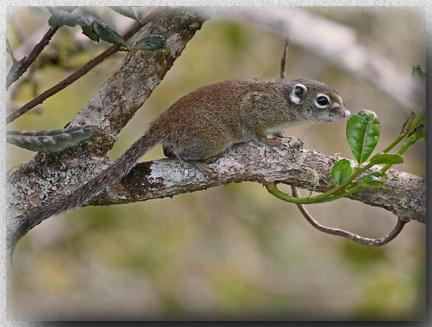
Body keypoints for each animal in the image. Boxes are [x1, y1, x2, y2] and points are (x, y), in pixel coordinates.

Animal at [7, 79, 352, 254]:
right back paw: (199, 162)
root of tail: (163, 123)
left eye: (337, 99)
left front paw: (286, 138)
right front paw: (273, 143)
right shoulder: (256, 111)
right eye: (323, 101)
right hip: (215, 136)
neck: (285, 100)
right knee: (183, 153)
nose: (347, 113)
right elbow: (257, 132)